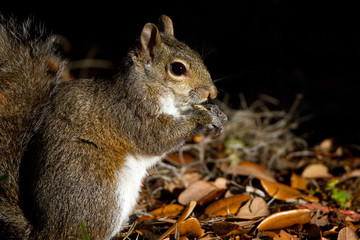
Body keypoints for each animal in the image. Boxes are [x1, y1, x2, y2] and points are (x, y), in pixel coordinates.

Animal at [0, 15, 226, 240]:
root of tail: (44, 231)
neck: (150, 87)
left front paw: (217, 114)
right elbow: (159, 138)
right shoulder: (131, 115)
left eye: (196, 54)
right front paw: (202, 117)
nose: (213, 93)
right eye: (178, 69)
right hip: (103, 194)